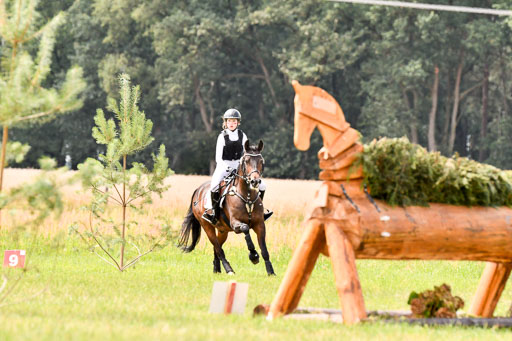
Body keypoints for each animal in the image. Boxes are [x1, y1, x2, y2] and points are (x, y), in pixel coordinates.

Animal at [179, 139, 276, 274]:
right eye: (246, 161)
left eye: (261, 161)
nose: (255, 181)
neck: (247, 197)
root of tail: (198, 190)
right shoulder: (235, 224)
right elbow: (245, 228)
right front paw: (253, 256)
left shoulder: (260, 224)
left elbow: (264, 250)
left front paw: (270, 271)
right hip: (207, 227)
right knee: (218, 248)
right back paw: (229, 270)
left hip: (223, 230)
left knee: (217, 248)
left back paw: (217, 269)